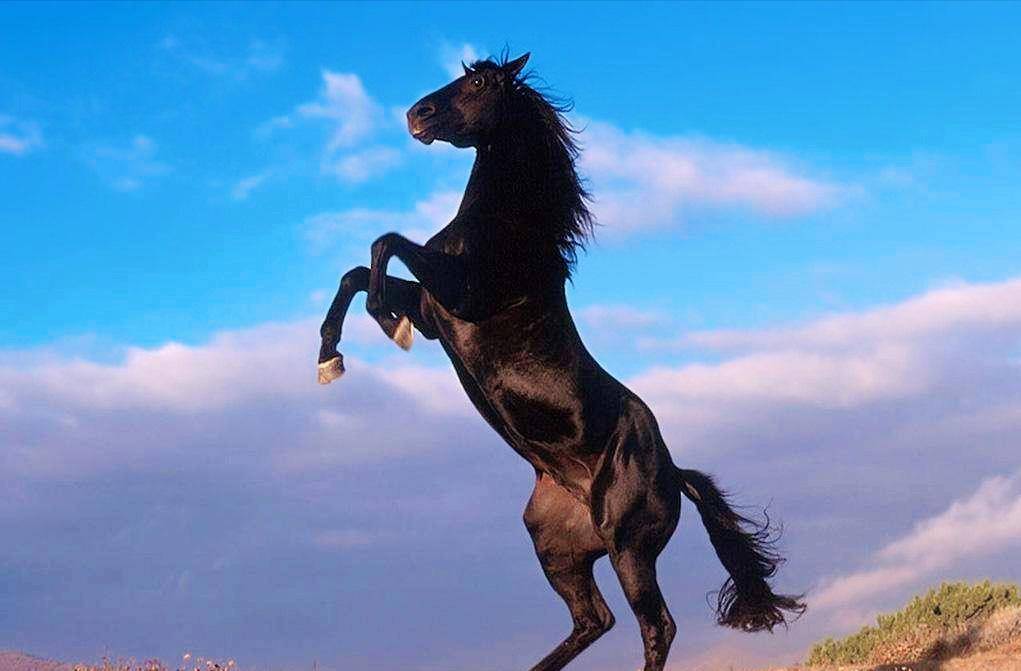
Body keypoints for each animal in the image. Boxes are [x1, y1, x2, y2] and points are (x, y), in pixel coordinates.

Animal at [316, 52, 805, 671]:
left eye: (480, 82)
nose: (415, 116)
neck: (508, 230)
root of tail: (675, 474)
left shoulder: (460, 296)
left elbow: (384, 245)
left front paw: (383, 321)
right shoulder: (433, 312)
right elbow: (356, 272)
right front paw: (329, 358)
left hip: (627, 547)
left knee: (655, 626)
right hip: (556, 547)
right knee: (593, 620)